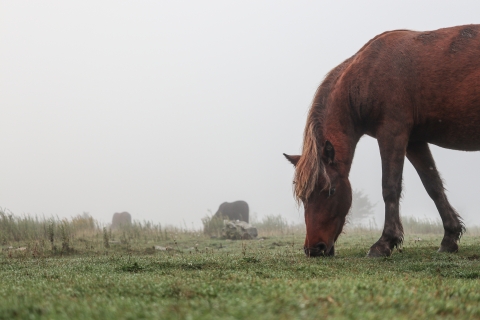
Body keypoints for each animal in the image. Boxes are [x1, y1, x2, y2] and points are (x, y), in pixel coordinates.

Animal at [284, 25, 480, 258]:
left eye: (330, 191)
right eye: (303, 197)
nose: (314, 249)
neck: (368, 70)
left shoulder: (392, 133)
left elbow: (390, 186)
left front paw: (385, 242)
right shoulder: (414, 141)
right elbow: (433, 185)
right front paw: (449, 238)